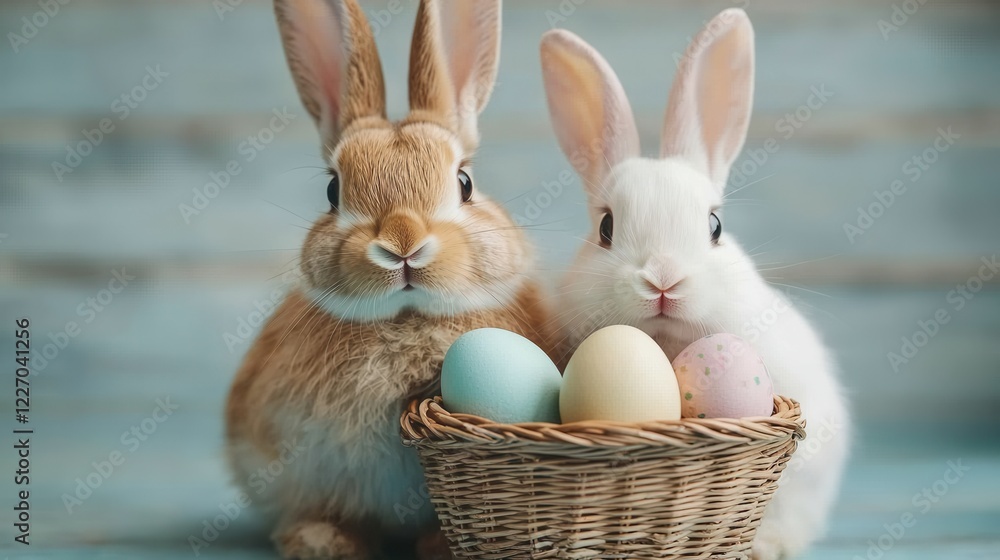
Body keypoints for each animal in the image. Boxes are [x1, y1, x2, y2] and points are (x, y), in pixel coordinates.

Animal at [225, 0, 556, 558]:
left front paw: (439, 545)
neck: (406, 318)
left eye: (465, 183)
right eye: (333, 191)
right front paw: (323, 540)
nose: (403, 242)